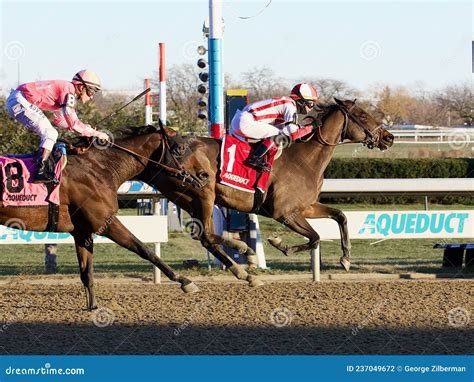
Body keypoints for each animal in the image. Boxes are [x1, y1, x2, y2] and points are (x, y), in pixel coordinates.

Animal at [0, 128, 200, 310]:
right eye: (180, 148)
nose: (201, 176)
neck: (99, 167)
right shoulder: (105, 223)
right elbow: (144, 249)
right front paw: (184, 281)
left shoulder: (82, 232)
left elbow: (86, 272)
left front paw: (93, 306)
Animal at [138, 97, 396, 278]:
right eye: (362, 115)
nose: (389, 137)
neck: (305, 159)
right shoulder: (284, 212)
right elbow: (315, 237)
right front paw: (280, 244)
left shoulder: (305, 207)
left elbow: (340, 217)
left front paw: (346, 258)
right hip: (203, 194)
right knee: (207, 236)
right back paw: (244, 256)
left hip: (189, 197)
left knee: (204, 235)